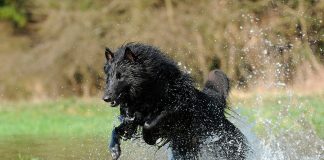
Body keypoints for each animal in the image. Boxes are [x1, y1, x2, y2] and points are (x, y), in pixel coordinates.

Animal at [102, 42, 249, 160]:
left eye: (120, 76)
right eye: (109, 77)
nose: (105, 98)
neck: (148, 90)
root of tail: (215, 105)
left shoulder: (175, 108)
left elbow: (149, 124)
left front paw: (150, 138)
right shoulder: (131, 121)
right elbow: (116, 130)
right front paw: (114, 149)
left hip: (226, 145)